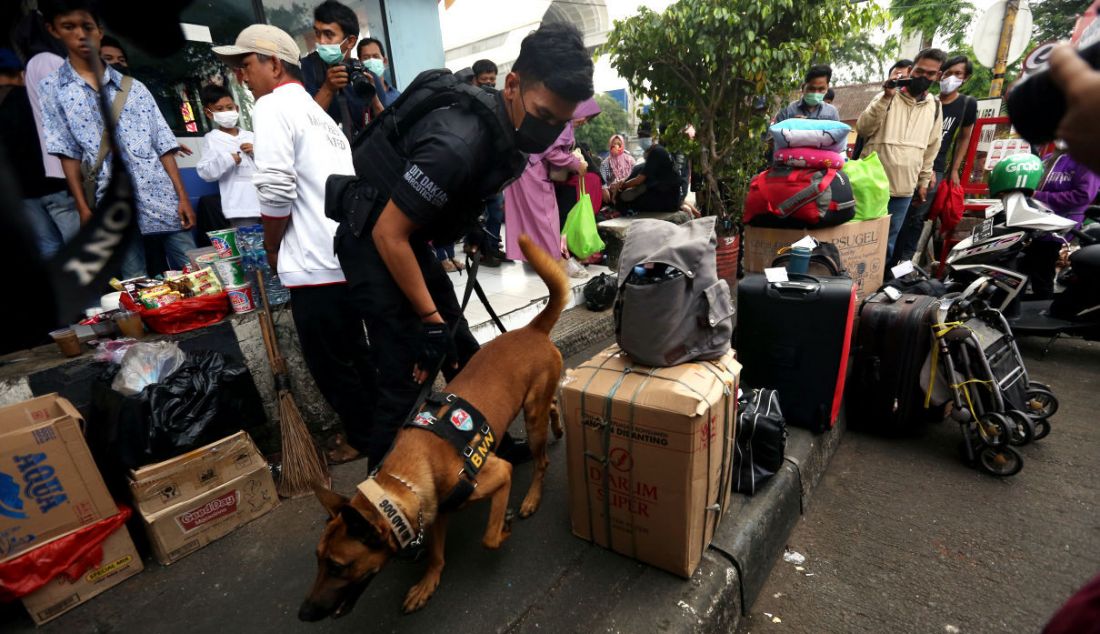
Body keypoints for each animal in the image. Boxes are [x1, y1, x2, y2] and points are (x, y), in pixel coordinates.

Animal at [301, 234, 572, 620]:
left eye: (338, 567)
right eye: (318, 561)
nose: (304, 612)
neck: (402, 480)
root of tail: (531, 329)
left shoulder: (498, 474)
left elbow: (489, 537)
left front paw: (502, 528)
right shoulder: (436, 511)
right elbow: (436, 553)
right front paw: (427, 582)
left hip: (532, 419)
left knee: (542, 462)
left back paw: (532, 496)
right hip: (534, 402)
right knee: (550, 404)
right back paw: (559, 427)